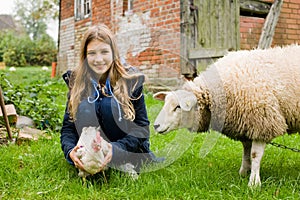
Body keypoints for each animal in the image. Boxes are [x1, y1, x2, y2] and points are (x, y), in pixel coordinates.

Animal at [154, 44, 300, 188]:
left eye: (178, 107)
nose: (155, 125)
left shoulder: (263, 122)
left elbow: (254, 154)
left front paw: (254, 183)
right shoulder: (245, 124)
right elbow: (246, 151)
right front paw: (244, 172)